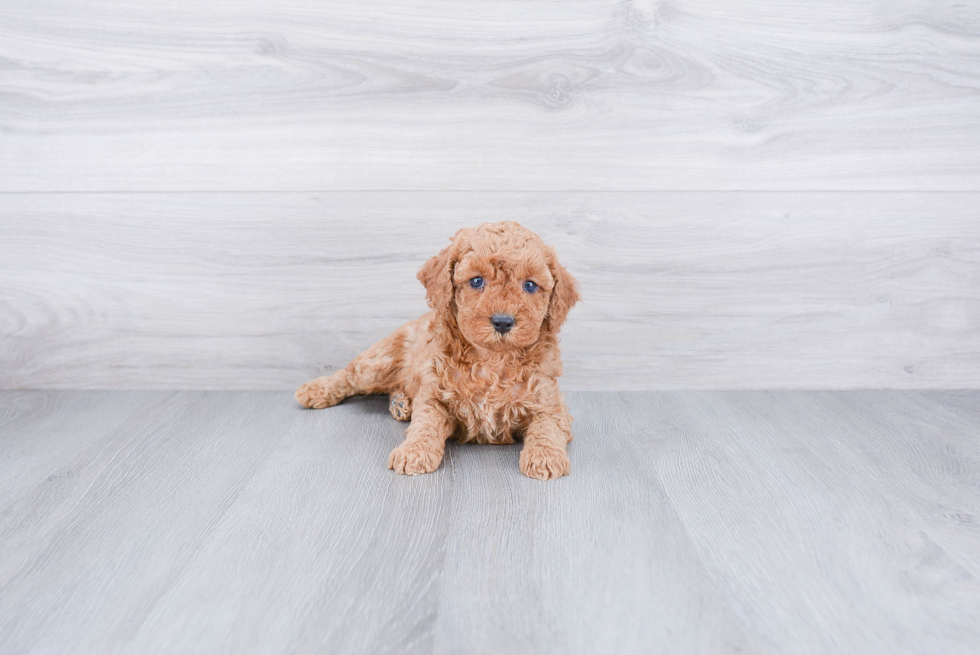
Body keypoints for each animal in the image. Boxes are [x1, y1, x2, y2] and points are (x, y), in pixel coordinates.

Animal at [294, 223, 580, 480]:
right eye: (477, 281)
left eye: (530, 285)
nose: (502, 321)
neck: (492, 358)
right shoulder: (435, 394)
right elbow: (425, 423)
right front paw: (413, 452)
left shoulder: (549, 401)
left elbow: (546, 426)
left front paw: (545, 457)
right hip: (380, 362)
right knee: (350, 375)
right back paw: (315, 390)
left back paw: (400, 404)